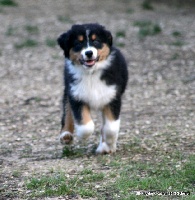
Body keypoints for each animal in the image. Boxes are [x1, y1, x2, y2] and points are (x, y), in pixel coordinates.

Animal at [57, 23, 128, 155]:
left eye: (96, 41)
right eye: (78, 43)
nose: (89, 53)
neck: (91, 73)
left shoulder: (112, 97)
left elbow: (110, 127)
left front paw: (108, 144)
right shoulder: (76, 95)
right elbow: (85, 126)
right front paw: (82, 135)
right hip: (68, 89)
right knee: (67, 110)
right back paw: (66, 135)